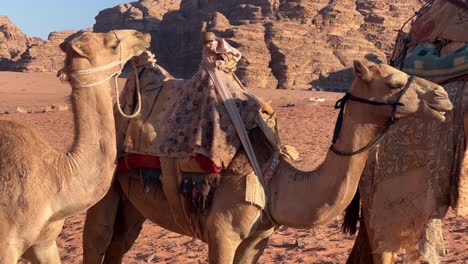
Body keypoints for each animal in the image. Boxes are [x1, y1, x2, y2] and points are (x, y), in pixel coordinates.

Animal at [82, 60, 452, 262]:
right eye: (392, 81)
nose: (443, 97)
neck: (274, 181)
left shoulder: (257, 240)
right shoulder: (222, 234)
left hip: (134, 205)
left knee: (118, 246)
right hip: (105, 189)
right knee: (97, 241)